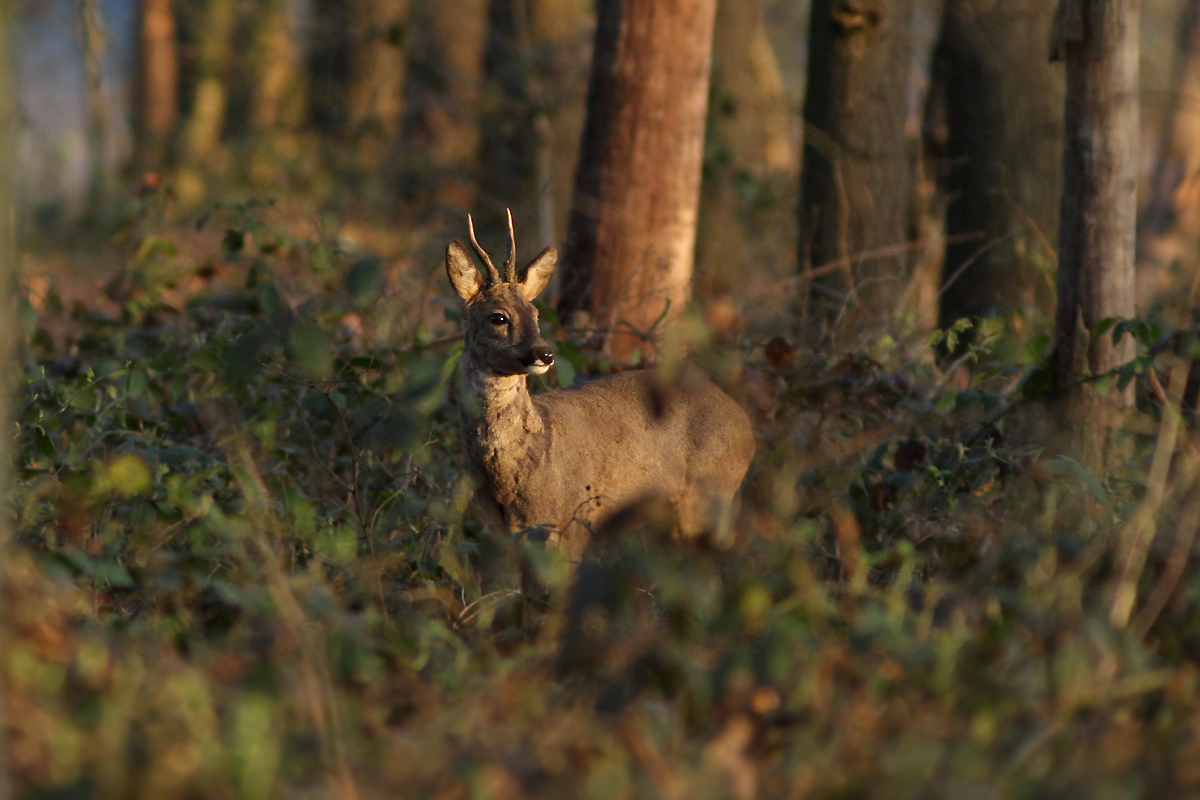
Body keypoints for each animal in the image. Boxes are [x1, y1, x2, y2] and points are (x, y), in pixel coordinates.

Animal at [446, 214, 753, 563]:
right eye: (498, 317)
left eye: (536, 314)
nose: (545, 353)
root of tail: (745, 422)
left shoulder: (574, 522)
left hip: (708, 494)